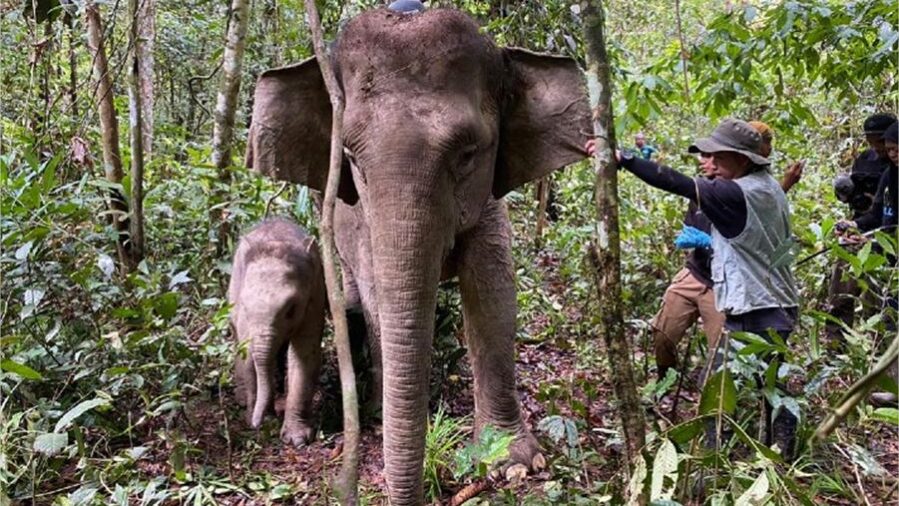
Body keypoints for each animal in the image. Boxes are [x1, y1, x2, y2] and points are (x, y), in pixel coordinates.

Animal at [229, 218, 326, 446]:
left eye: (290, 309)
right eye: (245, 305)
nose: (255, 423)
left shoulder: (315, 299)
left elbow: (304, 355)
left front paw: (296, 439)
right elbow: (248, 358)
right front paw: (260, 419)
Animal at [245, 7, 591, 504]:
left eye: (468, 153)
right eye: (350, 156)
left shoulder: (487, 205)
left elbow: (493, 296)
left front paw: (515, 462)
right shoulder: (363, 222)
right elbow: (379, 299)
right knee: (356, 301)